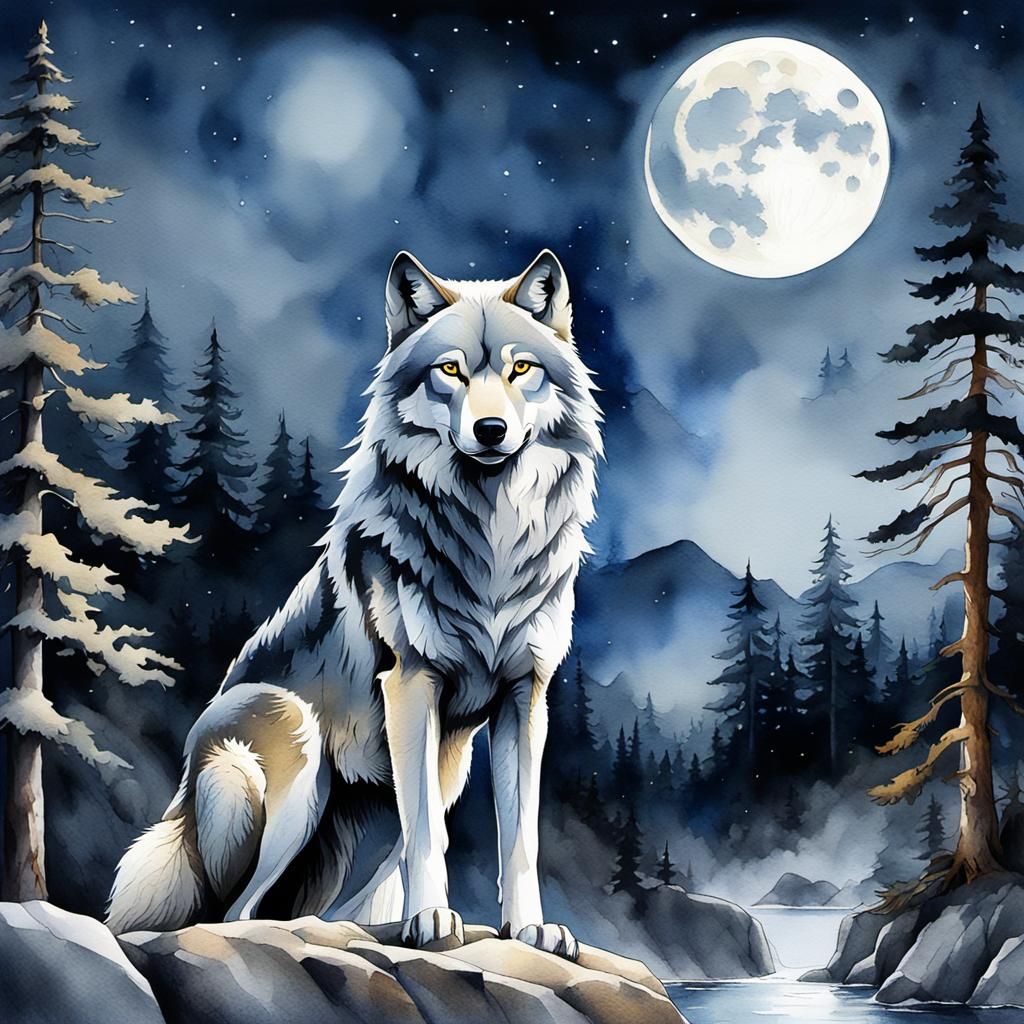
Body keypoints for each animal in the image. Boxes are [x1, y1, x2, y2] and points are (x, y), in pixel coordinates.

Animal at [106, 249, 602, 958]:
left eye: (521, 369)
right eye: (450, 370)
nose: (491, 430)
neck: (490, 543)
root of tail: (183, 786)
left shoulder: (524, 696)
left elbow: (519, 838)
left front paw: (531, 929)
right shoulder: (412, 683)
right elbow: (427, 836)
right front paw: (432, 920)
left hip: (410, 794)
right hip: (295, 752)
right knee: (234, 913)